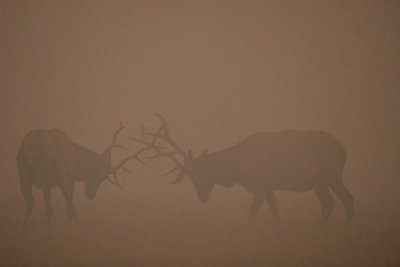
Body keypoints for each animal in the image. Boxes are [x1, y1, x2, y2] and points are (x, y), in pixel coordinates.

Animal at [17, 123, 152, 226]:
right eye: (100, 175)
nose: (91, 195)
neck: (78, 163)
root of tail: (32, 147)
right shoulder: (69, 178)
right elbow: (69, 203)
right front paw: (75, 223)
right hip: (50, 174)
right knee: (50, 204)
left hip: (23, 174)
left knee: (30, 201)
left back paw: (25, 225)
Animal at [140, 114, 354, 225]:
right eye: (191, 178)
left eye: (204, 173)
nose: (203, 198)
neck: (238, 171)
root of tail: (343, 146)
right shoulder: (268, 187)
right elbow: (275, 212)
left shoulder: (261, 184)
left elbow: (251, 214)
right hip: (319, 182)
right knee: (329, 202)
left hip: (332, 175)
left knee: (346, 197)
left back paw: (343, 227)